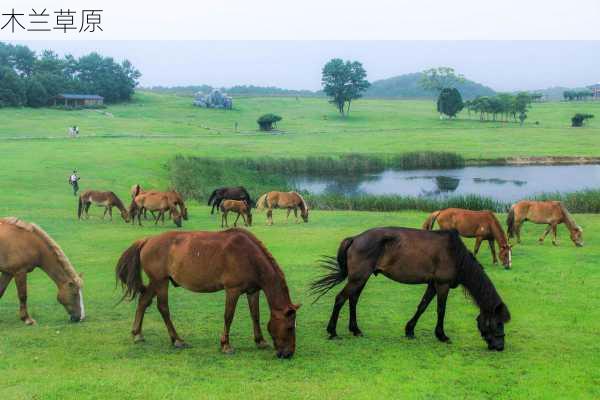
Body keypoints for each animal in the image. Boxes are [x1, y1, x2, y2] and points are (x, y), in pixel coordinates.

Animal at [115, 228, 300, 360]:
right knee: (163, 308)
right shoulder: (232, 290)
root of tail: (148, 240)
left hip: (157, 282)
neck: (249, 256)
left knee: (143, 301)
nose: (288, 354)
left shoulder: (253, 291)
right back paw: (177, 339)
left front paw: (260, 341)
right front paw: (225, 345)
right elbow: (228, 316)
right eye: (290, 327)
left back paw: (137, 334)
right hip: (160, 282)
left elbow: (255, 315)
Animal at [310, 227, 510, 352]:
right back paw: (333, 331)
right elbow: (441, 310)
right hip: (358, 278)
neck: (455, 254)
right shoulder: (442, 285)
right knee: (340, 299)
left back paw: (355, 329)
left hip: (361, 278)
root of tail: (354, 239)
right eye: (498, 323)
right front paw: (442, 335)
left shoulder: (433, 284)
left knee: (353, 299)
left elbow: (422, 306)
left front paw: (410, 330)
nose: (500, 347)